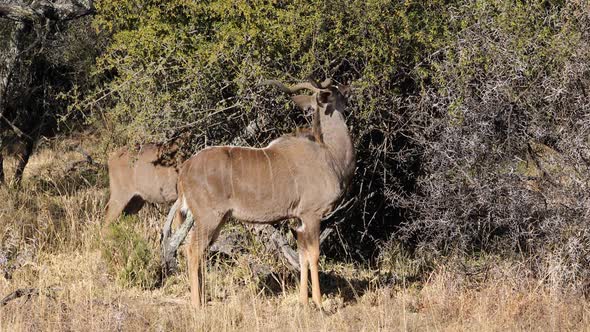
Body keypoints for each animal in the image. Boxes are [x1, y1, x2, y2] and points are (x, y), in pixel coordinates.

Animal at [173, 78, 354, 308]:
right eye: (335, 92)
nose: (349, 89)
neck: (329, 155)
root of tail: (184, 170)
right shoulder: (311, 215)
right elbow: (313, 255)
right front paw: (319, 302)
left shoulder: (298, 220)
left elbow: (302, 255)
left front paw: (303, 301)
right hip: (208, 218)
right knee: (193, 251)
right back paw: (197, 305)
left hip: (217, 220)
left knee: (200, 252)